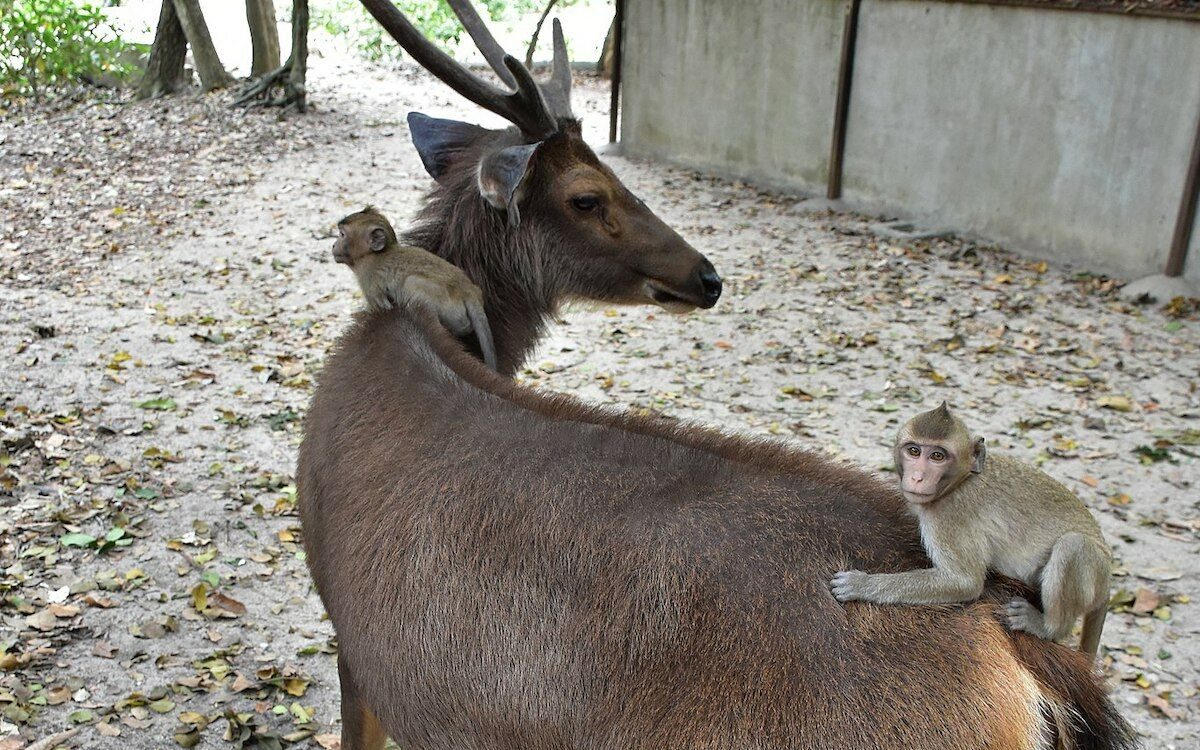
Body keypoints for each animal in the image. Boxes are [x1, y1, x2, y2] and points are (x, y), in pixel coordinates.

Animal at [331, 206, 494, 369]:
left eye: (342, 234)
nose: (333, 245)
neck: (373, 254)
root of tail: (469, 292)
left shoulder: (368, 278)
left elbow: (381, 305)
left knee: (411, 282)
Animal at [830, 403, 1108, 652]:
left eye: (938, 456)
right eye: (914, 451)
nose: (917, 477)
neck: (959, 482)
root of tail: (1107, 583)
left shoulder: (949, 516)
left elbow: (964, 582)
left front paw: (863, 585)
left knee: (1073, 545)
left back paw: (1048, 627)